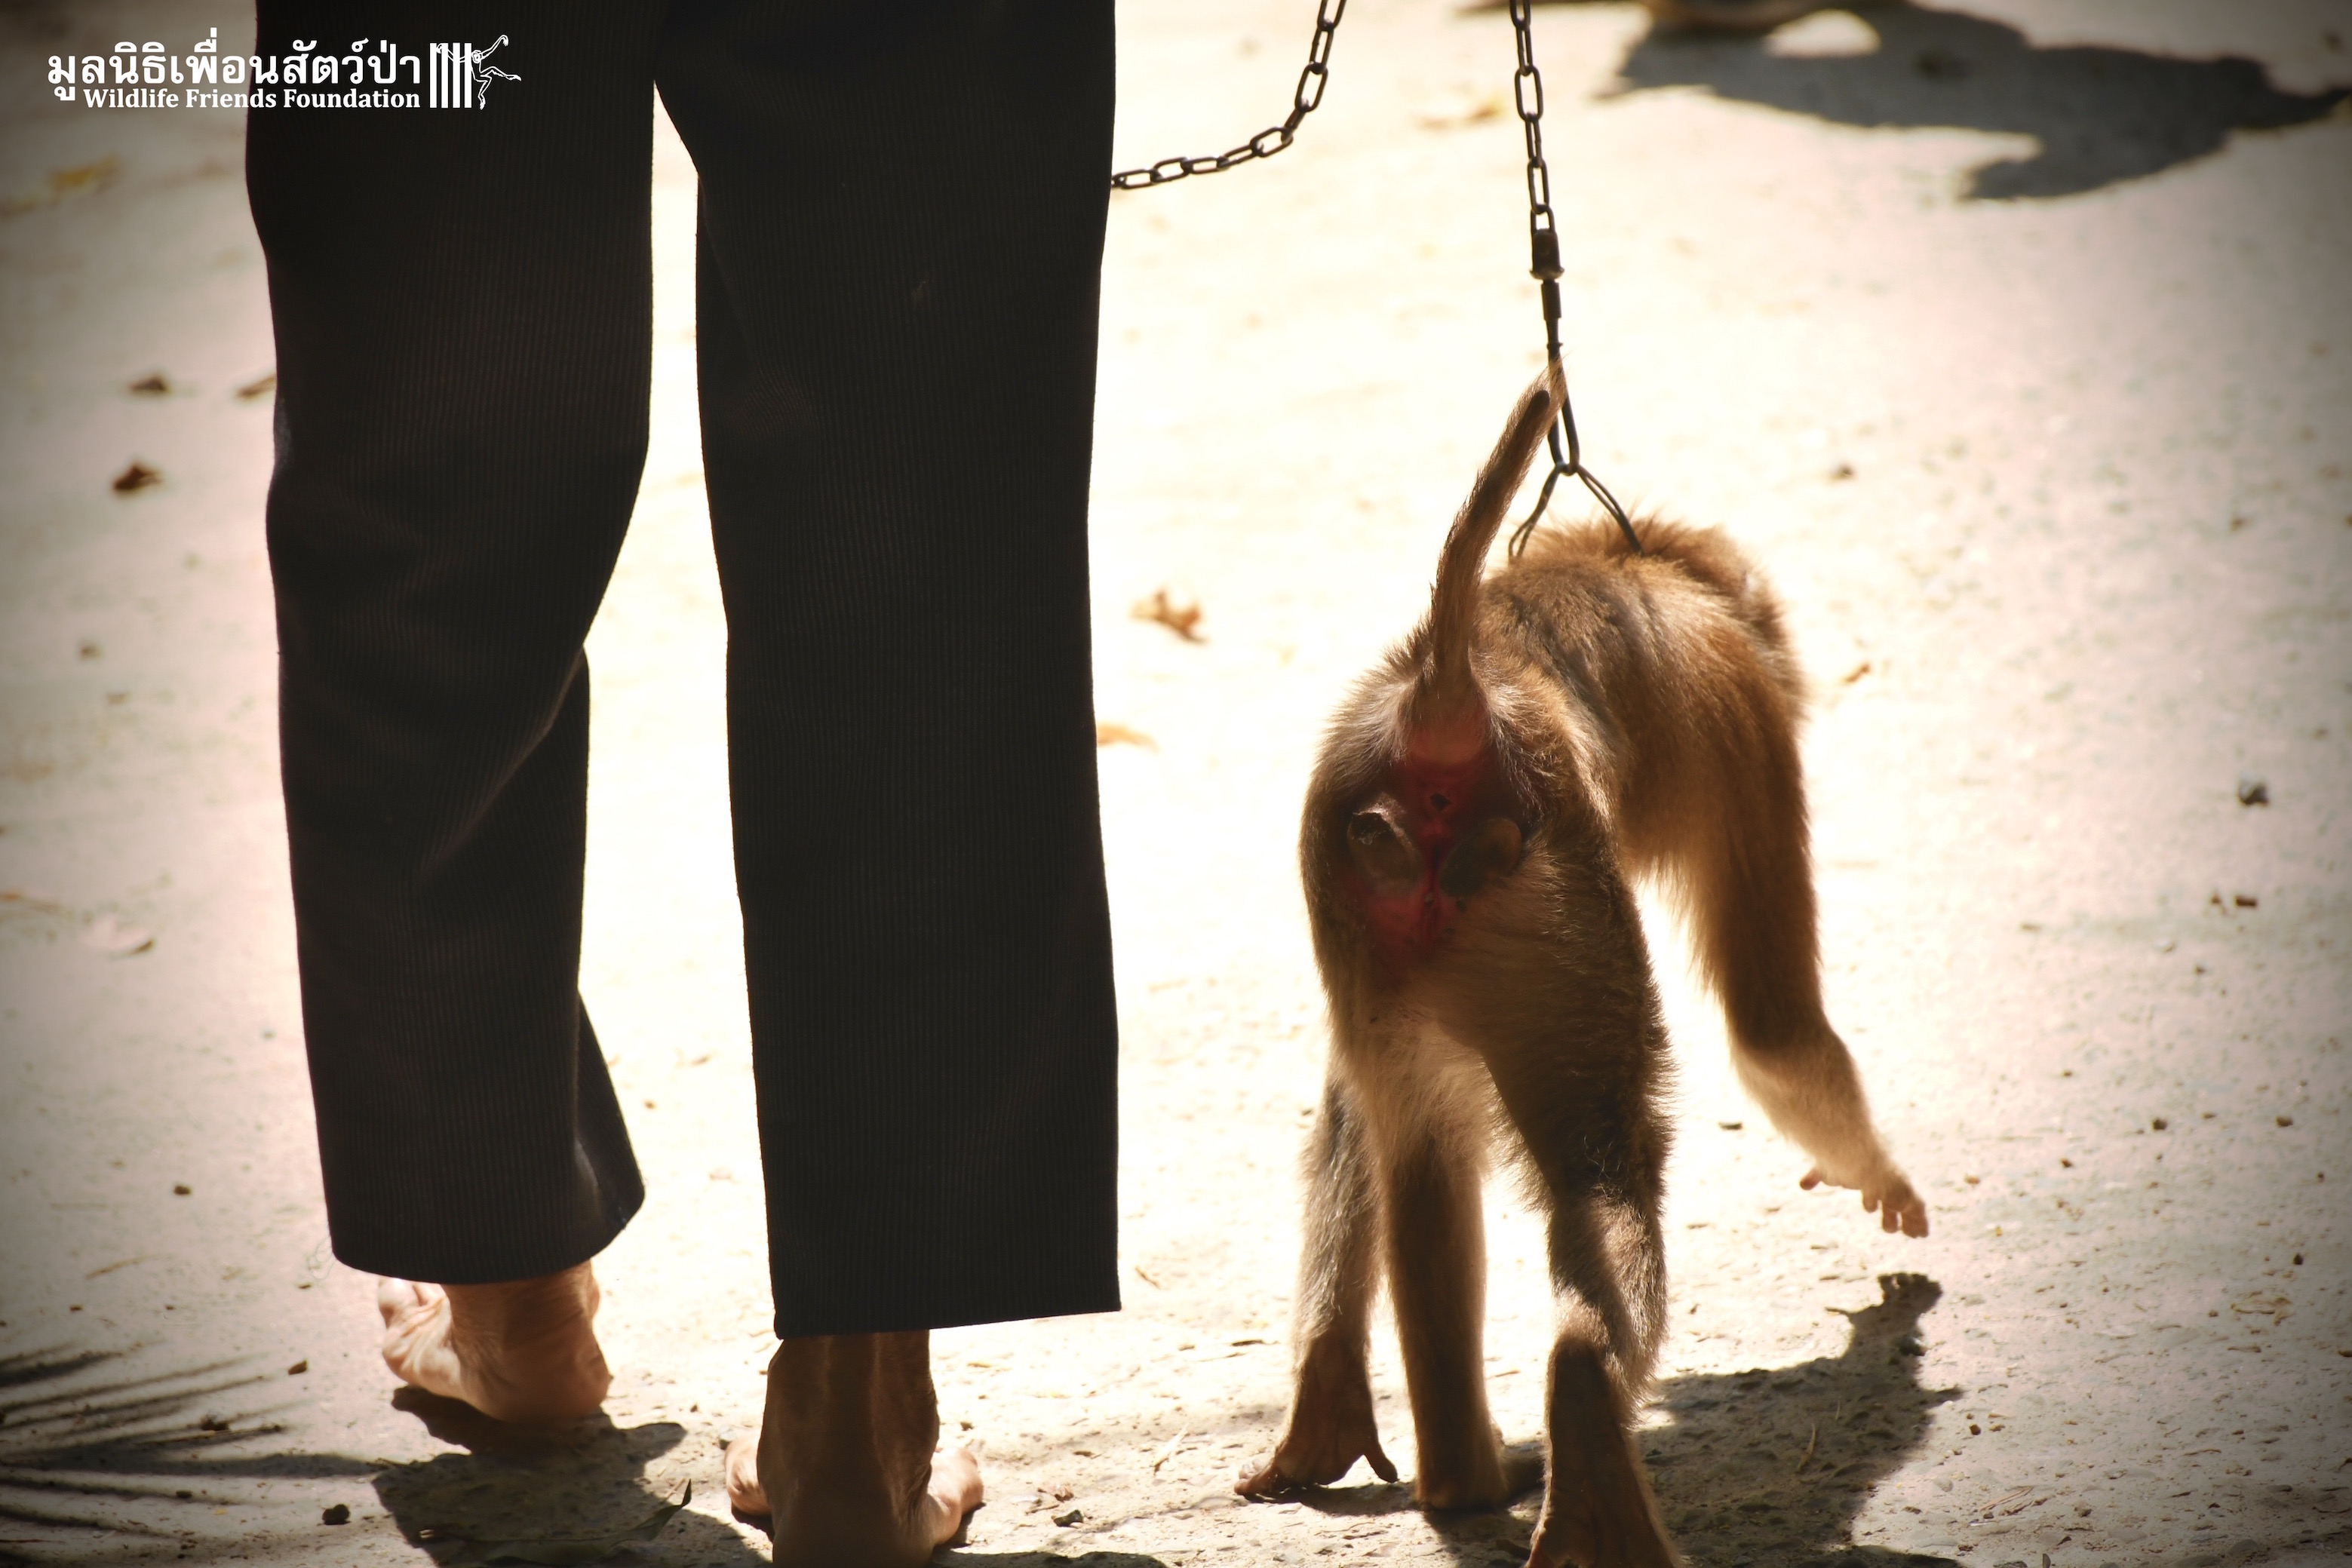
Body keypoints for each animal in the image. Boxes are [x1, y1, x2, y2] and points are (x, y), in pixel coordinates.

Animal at [1234, 370, 1927, 1568]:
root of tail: (1443, 698)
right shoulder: (1747, 709)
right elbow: (1773, 1030)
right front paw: (1877, 1174)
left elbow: (1358, 1113)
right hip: (1545, 900)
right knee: (1605, 1158)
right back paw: (1582, 1425)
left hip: (1370, 883)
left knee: (1419, 1148)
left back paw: (1443, 1471)